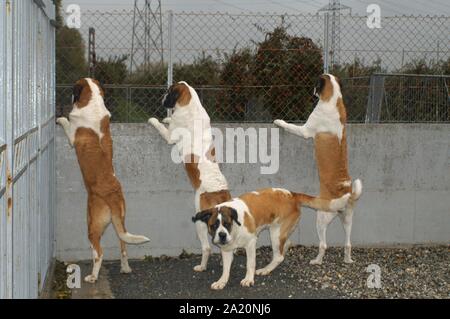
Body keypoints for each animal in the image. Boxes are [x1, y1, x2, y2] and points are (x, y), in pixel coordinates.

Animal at [56, 79, 149, 284]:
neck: (93, 103)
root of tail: (112, 195)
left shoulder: (72, 137)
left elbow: (66, 122)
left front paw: (59, 118)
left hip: (92, 226)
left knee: (99, 253)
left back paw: (92, 276)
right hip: (120, 223)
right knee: (123, 246)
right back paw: (125, 268)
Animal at [149, 82, 232, 272]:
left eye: (168, 92)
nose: (161, 98)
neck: (192, 106)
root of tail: (220, 192)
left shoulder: (170, 136)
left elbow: (161, 127)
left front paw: (154, 120)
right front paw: (167, 119)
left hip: (200, 221)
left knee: (207, 247)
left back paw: (201, 266)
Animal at [193, 188, 352, 290]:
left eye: (226, 224)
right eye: (214, 225)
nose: (222, 235)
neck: (236, 226)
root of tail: (292, 195)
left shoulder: (251, 243)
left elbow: (250, 263)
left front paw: (249, 279)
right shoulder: (226, 250)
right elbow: (226, 268)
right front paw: (222, 281)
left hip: (275, 233)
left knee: (279, 256)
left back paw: (265, 269)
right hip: (278, 232)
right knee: (285, 245)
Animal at [272, 74, 364, 264]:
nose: (311, 90)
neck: (334, 98)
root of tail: (347, 193)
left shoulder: (305, 130)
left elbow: (291, 126)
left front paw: (279, 121)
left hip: (321, 218)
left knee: (323, 245)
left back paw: (317, 260)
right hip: (347, 220)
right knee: (348, 244)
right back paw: (347, 260)